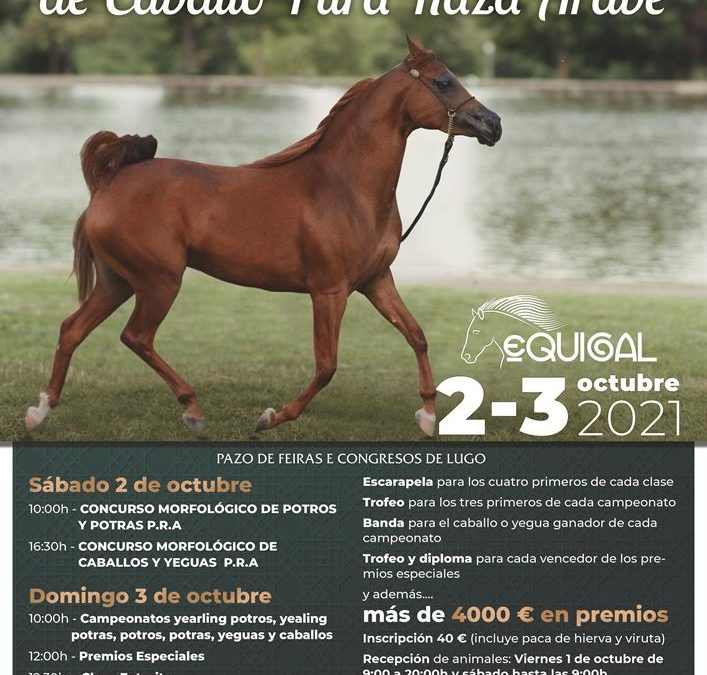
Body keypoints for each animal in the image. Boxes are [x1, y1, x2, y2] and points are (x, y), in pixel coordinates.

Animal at [25, 37, 502, 437]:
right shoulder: (329, 291)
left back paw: (39, 411)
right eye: (444, 80)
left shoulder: (375, 281)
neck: (346, 187)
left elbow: (416, 335)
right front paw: (271, 417)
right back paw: (192, 410)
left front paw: (427, 415)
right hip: (159, 281)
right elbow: (326, 366)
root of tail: (110, 180)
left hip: (118, 281)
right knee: (136, 337)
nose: (492, 124)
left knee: (72, 330)